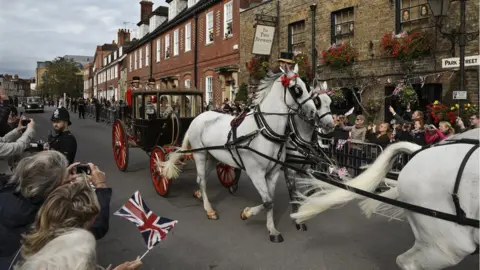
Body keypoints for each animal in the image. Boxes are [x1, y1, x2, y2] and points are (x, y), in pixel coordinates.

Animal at [161, 63, 326, 243]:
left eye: (308, 88)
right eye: (297, 89)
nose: (313, 113)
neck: (264, 131)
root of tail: (199, 117)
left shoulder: (273, 172)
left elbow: (271, 200)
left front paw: (272, 229)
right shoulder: (256, 173)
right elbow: (267, 201)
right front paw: (247, 213)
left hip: (212, 155)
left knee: (201, 177)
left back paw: (199, 194)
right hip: (200, 154)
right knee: (202, 180)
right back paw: (209, 209)